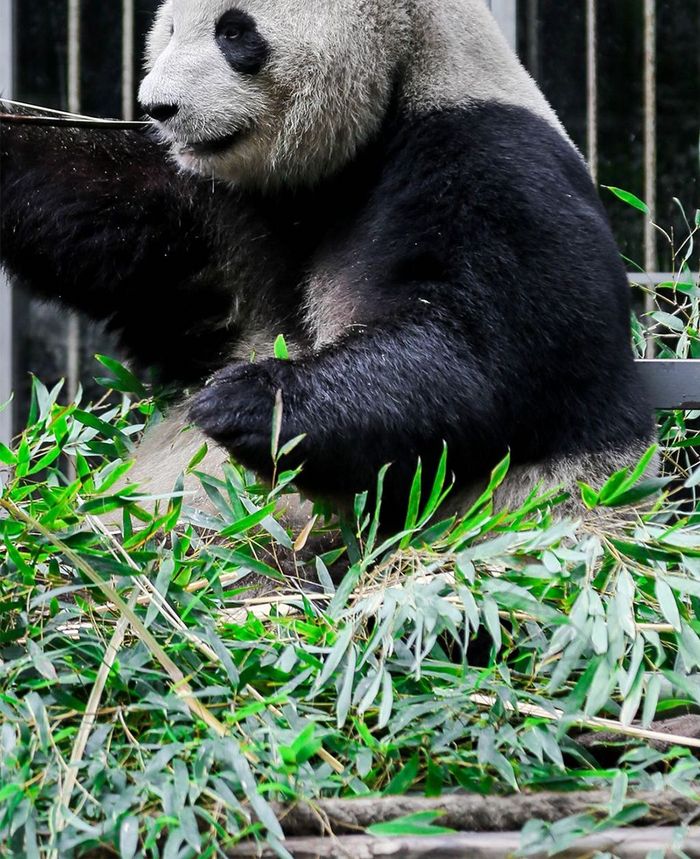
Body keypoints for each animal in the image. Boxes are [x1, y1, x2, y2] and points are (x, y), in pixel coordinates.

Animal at [1, 0, 656, 536]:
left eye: (233, 31)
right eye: (167, 31)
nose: (159, 108)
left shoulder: (493, 168)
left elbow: (476, 364)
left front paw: (244, 400)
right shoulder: (228, 214)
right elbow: (111, 219)